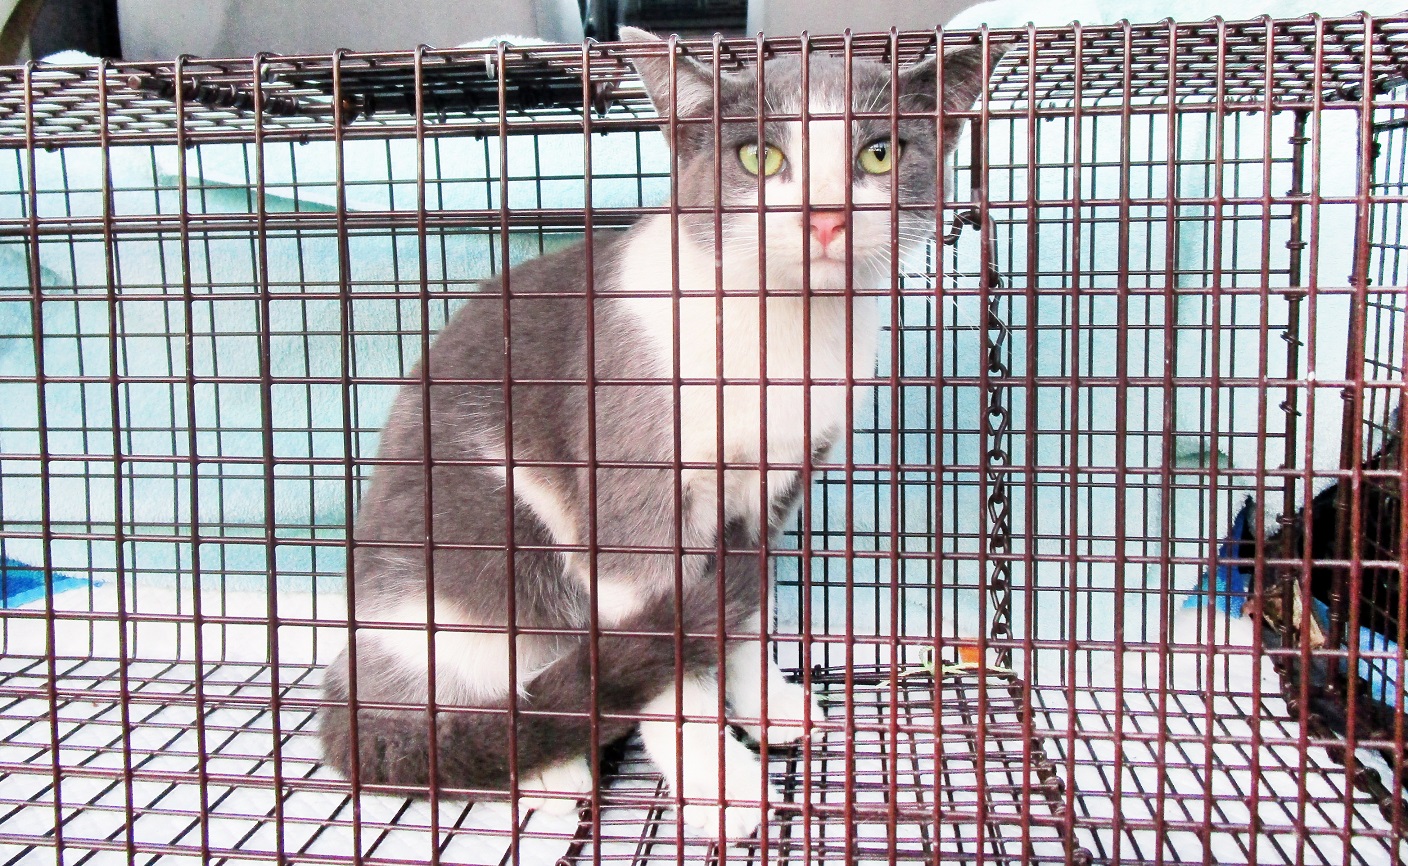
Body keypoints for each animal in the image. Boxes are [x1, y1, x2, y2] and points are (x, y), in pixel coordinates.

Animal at [317, 26, 1001, 841]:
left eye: (878, 154)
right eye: (759, 155)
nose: (826, 217)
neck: (781, 340)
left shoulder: (774, 490)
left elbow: (743, 611)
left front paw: (769, 707)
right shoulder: (632, 487)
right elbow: (666, 653)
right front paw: (721, 785)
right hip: (483, 553)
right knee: (467, 713)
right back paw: (545, 769)